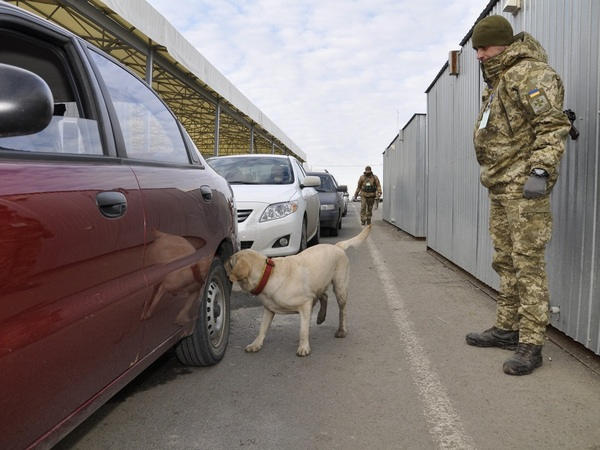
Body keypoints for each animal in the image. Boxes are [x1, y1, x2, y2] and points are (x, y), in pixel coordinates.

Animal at [226, 227, 370, 356]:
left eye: (230, 262)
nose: (223, 262)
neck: (268, 273)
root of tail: (337, 246)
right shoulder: (269, 310)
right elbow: (262, 328)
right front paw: (256, 344)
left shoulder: (305, 304)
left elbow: (303, 330)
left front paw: (304, 347)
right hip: (319, 283)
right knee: (324, 296)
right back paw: (320, 316)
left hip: (340, 288)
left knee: (342, 310)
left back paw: (341, 330)